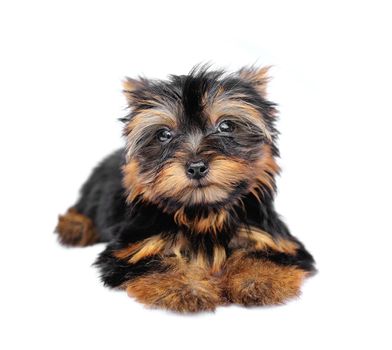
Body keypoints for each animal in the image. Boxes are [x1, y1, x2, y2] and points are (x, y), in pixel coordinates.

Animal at [56, 65, 316, 312]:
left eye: (226, 126)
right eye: (164, 134)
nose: (196, 167)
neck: (203, 213)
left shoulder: (276, 240)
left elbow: (264, 256)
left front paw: (257, 281)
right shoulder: (132, 250)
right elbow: (159, 263)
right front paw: (187, 289)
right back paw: (75, 226)